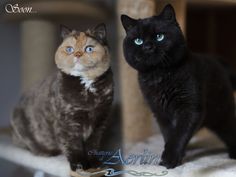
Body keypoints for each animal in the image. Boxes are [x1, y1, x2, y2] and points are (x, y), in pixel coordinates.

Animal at [10, 24, 113, 171]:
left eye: (89, 48)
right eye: (69, 49)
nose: (77, 54)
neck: (87, 89)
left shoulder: (100, 122)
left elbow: (93, 146)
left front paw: (94, 164)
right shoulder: (66, 124)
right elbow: (73, 146)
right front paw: (79, 165)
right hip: (20, 123)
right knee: (31, 145)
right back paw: (46, 152)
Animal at [121, 3, 236, 168]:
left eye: (159, 37)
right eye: (138, 41)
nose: (148, 46)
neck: (159, 76)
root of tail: (219, 61)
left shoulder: (190, 109)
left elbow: (180, 134)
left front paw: (169, 160)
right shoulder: (160, 113)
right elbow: (170, 135)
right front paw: (176, 155)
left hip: (222, 113)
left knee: (230, 131)